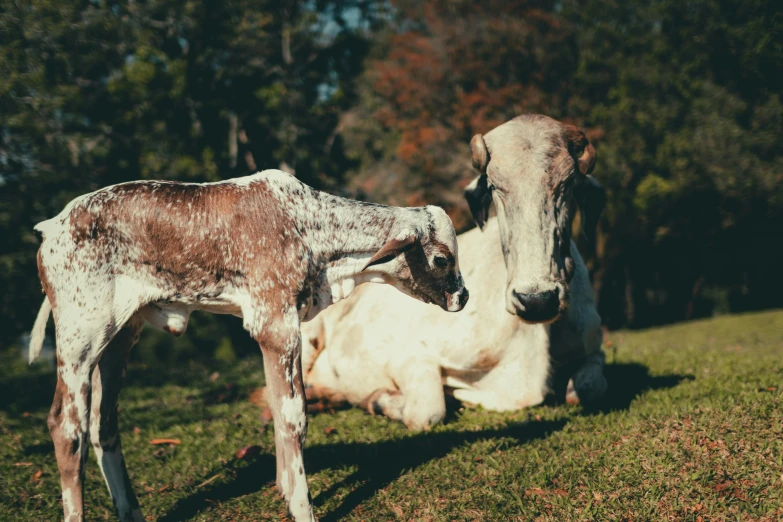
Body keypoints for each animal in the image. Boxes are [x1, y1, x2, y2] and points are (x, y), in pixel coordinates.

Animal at [30, 169, 468, 516]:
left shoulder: (274, 333)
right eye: (442, 259)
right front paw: (302, 507)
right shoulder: (277, 325)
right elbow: (293, 415)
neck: (310, 227)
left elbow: (276, 406)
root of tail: (52, 226)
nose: (463, 297)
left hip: (119, 338)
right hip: (80, 340)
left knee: (103, 425)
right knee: (66, 426)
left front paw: (285, 490)